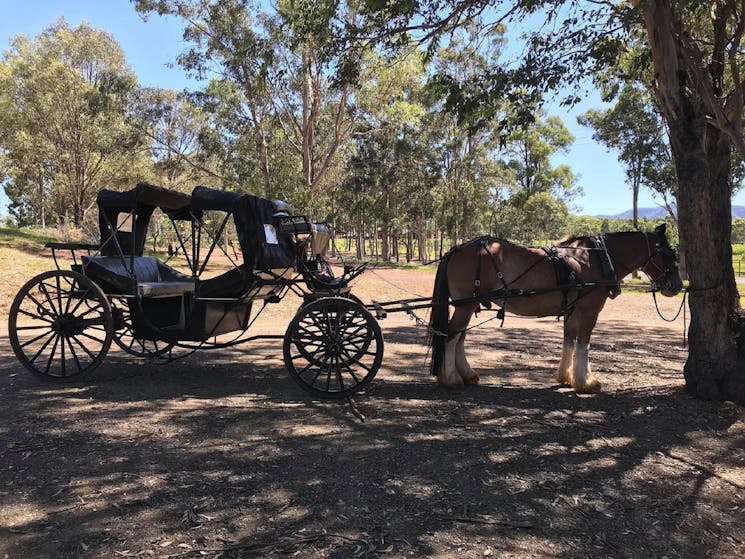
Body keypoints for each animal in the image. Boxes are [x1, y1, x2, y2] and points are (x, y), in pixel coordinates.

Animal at [428, 223, 684, 394]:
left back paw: (467, 374)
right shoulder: (589, 311)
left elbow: (569, 341)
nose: (678, 286)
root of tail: (455, 250)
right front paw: (586, 382)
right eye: (669, 253)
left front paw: (566, 377)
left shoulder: (573, 311)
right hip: (465, 305)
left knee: (459, 338)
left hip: (467, 306)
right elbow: (583, 345)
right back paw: (452, 378)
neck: (595, 259)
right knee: (451, 337)